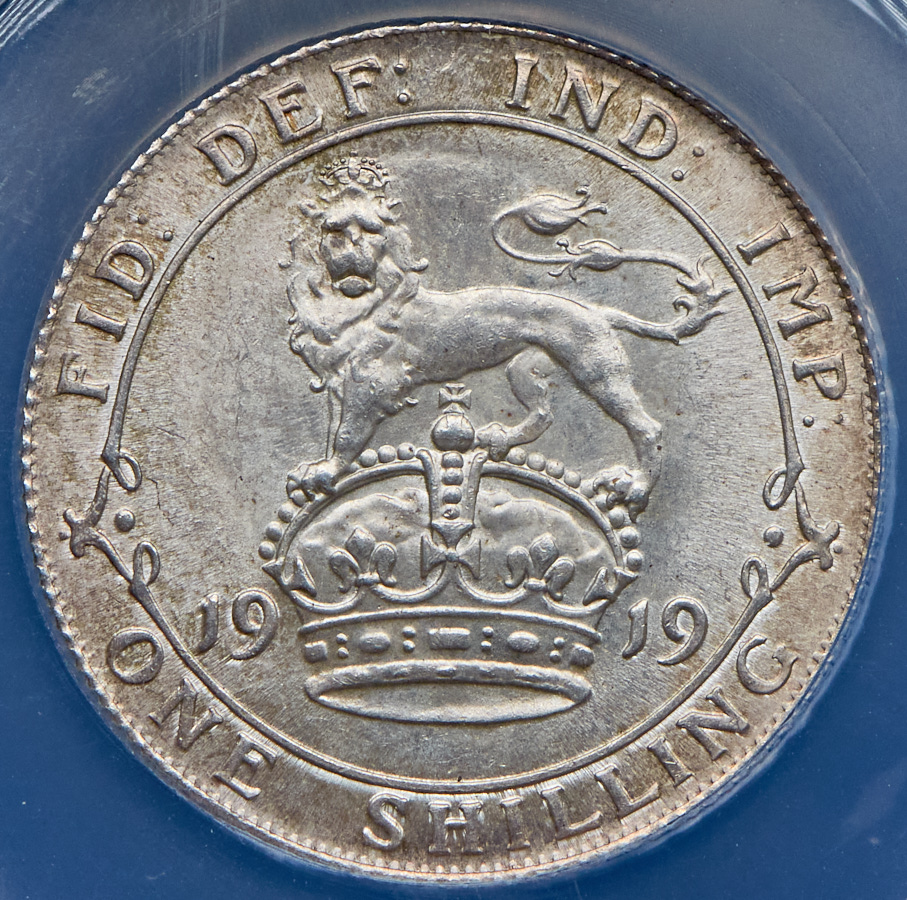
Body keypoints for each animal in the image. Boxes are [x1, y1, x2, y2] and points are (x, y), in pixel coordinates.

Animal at [284, 158, 725, 514]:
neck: (352, 304)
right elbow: (333, 424)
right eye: (336, 231)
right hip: (525, 367)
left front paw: (326, 471)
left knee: (647, 427)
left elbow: (347, 432)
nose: (352, 251)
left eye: (371, 231)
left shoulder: (373, 379)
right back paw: (501, 437)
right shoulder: (337, 376)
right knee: (544, 413)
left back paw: (633, 487)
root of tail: (598, 310)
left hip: (596, 369)